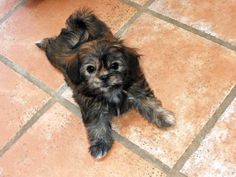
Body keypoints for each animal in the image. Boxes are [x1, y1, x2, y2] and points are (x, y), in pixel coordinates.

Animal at [35, 8, 175, 159]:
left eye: (115, 65)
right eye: (90, 69)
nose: (104, 77)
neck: (111, 90)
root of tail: (73, 30)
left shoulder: (137, 88)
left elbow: (149, 102)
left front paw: (164, 116)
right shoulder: (91, 105)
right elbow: (97, 124)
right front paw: (99, 144)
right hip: (54, 55)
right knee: (51, 43)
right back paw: (42, 42)